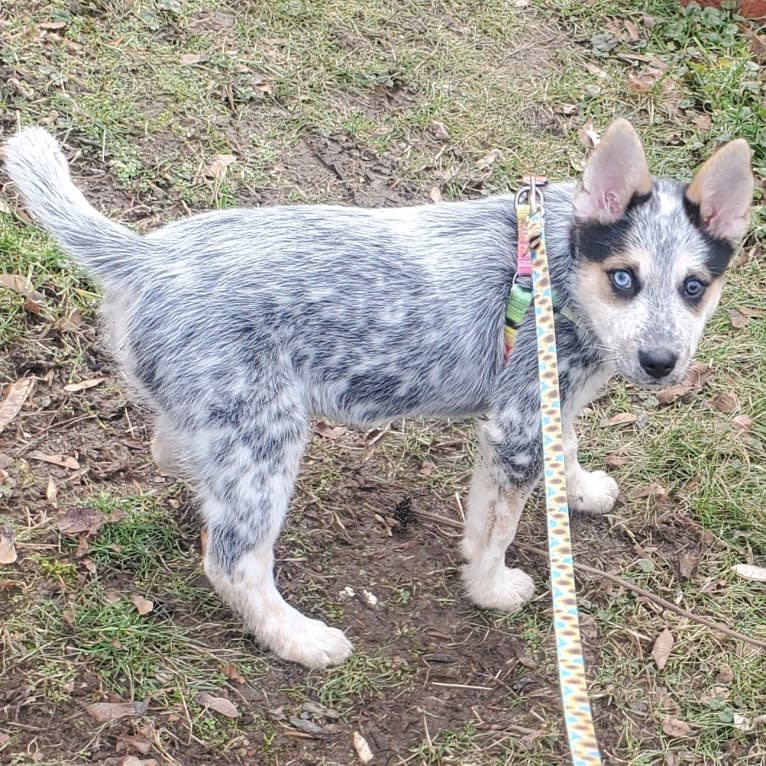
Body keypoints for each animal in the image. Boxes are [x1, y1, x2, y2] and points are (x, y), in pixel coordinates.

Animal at [3, 118, 752, 664]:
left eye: (694, 287)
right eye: (624, 278)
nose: (661, 362)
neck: (555, 268)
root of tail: (148, 257)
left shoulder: (549, 400)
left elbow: (566, 445)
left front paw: (580, 489)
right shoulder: (515, 427)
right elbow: (495, 528)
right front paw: (490, 588)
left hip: (223, 419)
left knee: (172, 449)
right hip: (266, 440)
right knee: (233, 562)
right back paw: (300, 640)